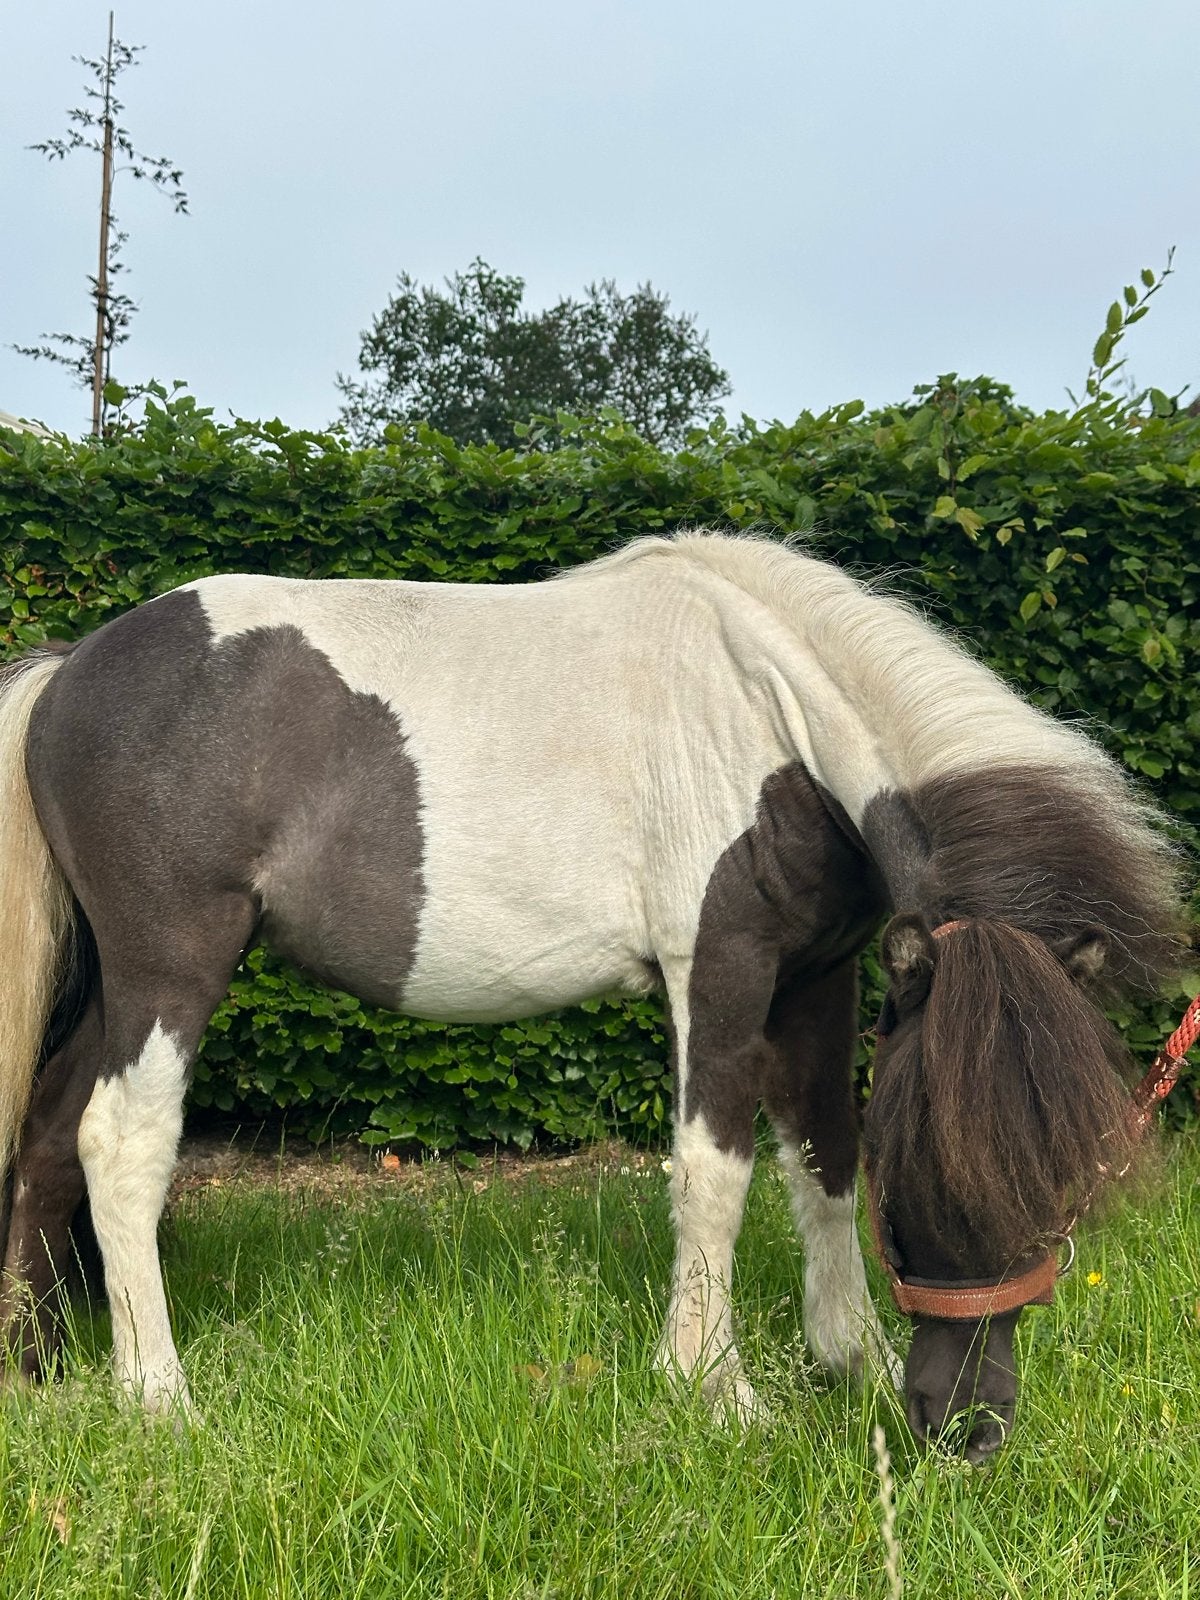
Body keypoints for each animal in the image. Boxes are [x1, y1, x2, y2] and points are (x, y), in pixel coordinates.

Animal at [0, 530, 1183, 1461]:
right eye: (942, 1166)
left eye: (1067, 1184)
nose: (966, 1429)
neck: (774, 713)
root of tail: (69, 669)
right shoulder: (721, 969)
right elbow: (715, 1173)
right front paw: (713, 1389)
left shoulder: (819, 978)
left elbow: (822, 1155)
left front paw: (845, 1357)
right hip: (170, 967)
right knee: (120, 1143)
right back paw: (158, 1398)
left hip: (115, 985)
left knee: (52, 1133)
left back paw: (36, 1363)